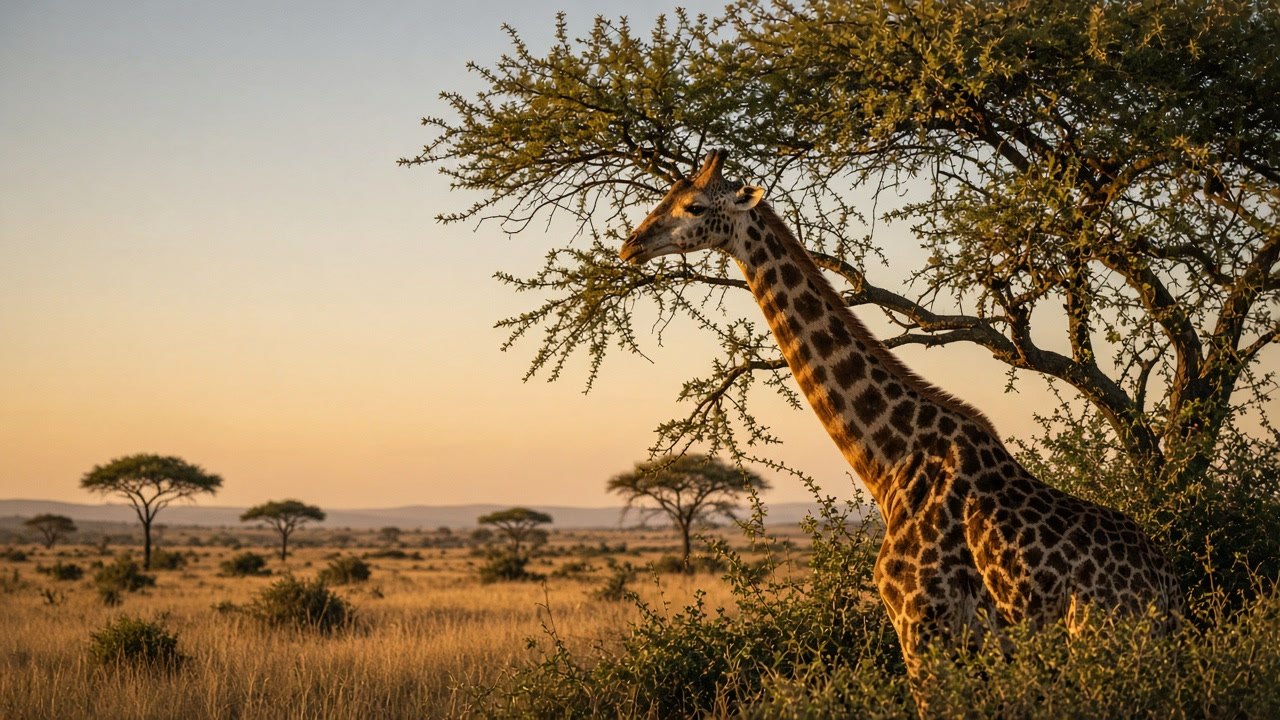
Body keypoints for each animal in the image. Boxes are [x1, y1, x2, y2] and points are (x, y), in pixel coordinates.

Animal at [620, 149, 1181, 687]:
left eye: (694, 206)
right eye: (667, 195)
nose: (630, 245)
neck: (890, 461)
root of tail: (1169, 590)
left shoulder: (920, 624)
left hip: (1103, 641)